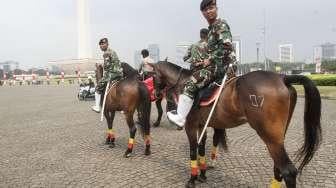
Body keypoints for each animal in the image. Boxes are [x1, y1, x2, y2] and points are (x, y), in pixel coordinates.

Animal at [149, 61, 320, 187]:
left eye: (152, 76)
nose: (156, 94)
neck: (183, 82)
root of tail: (283, 78)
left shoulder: (190, 126)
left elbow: (193, 151)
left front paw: (192, 179)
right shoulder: (201, 125)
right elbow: (202, 149)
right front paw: (203, 175)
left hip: (270, 137)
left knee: (288, 171)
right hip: (278, 138)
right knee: (278, 169)